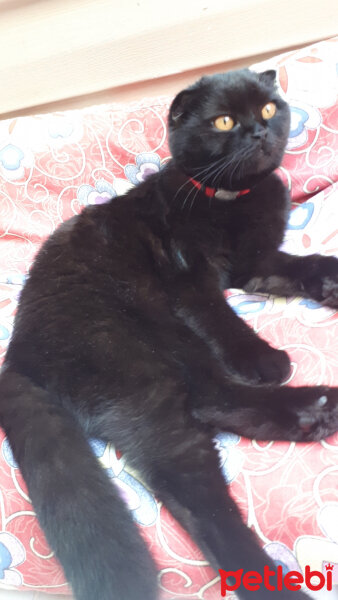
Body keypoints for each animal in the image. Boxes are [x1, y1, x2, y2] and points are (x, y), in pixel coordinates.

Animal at [0, 68, 338, 596]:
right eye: (223, 121)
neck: (233, 201)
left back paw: (314, 414)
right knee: (198, 456)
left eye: (268, 108)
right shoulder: (190, 281)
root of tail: (16, 356)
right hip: (144, 349)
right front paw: (263, 360)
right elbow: (224, 320)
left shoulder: (255, 265)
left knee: (199, 437)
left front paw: (333, 278)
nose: (258, 132)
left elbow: (300, 266)